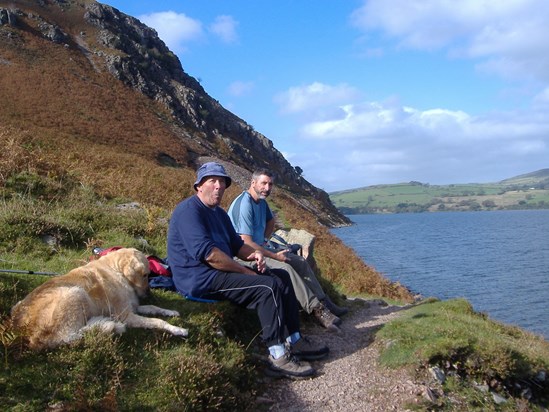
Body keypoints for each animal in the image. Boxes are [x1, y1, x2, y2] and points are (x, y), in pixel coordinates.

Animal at [9, 248, 186, 350]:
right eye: (144, 275)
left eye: (149, 275)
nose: (149, 294)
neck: (116, 270)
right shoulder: (125, 315)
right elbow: (157, 321)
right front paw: (177, 329)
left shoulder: (133, 307)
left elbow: (154, 309)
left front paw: (171, 312)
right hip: (76, 293)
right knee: (67, 336)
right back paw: (109, 326)